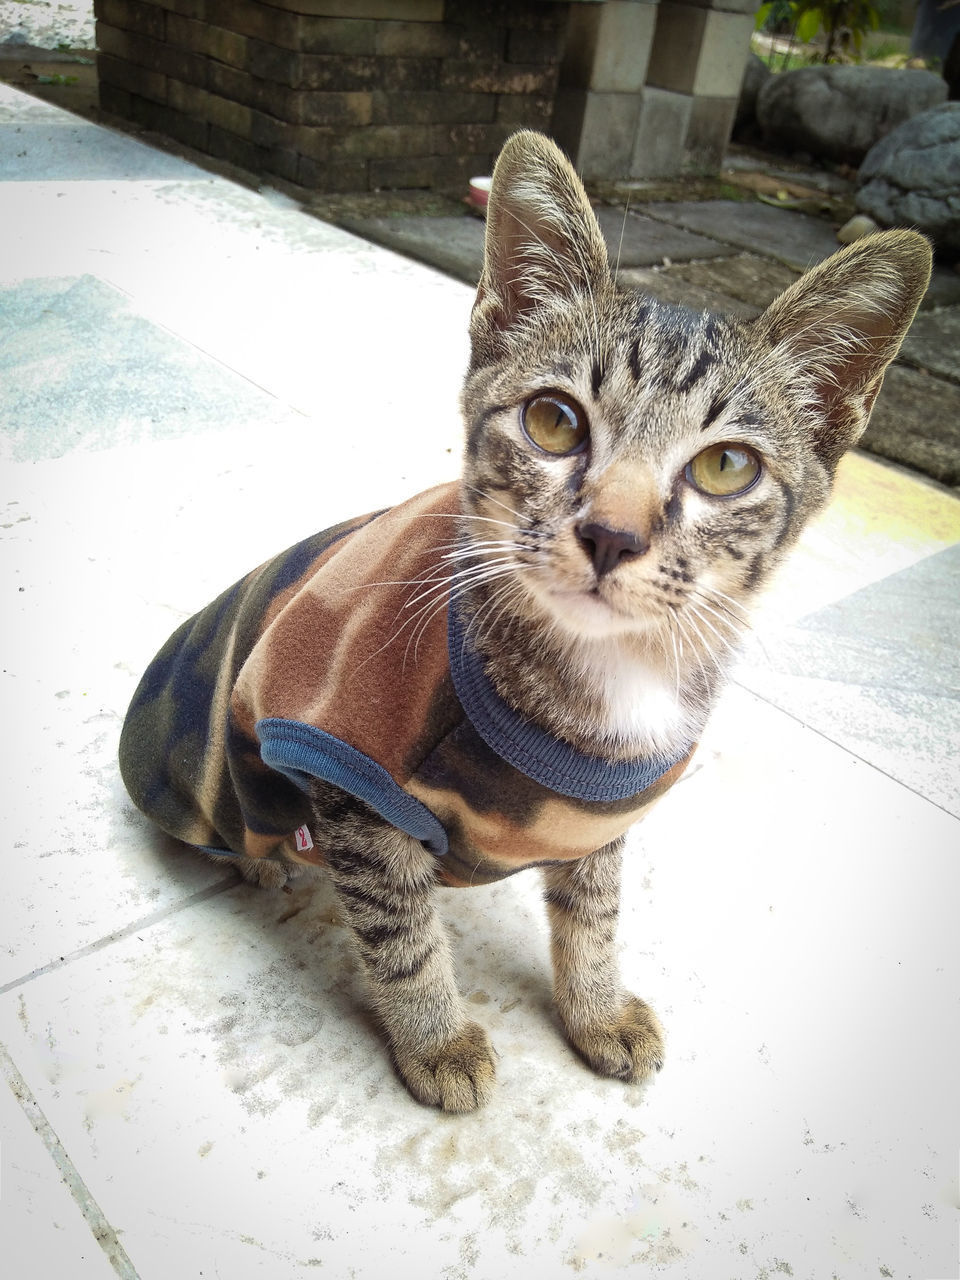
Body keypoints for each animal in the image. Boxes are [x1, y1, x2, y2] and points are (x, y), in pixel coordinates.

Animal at [118, 127, 931, 1111]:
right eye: (553, 420)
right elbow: (399, 933)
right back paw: (261, 860)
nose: (613, 534)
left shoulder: (596, 820)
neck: (608, 677)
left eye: (726, 467)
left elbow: (595, 910)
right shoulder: (352, 778)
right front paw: (436, 1039)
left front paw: (596, 1007)